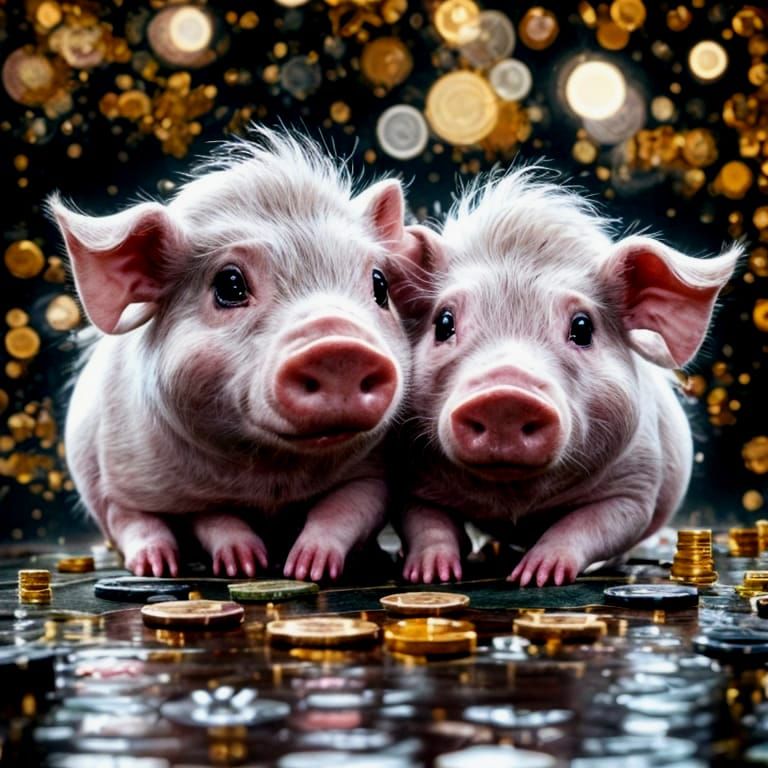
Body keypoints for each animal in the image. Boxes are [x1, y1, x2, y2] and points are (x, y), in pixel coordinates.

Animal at [49, 126, 414, 580]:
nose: (339, 348)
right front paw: (243, 565)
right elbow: (215, 519)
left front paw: (306, 568)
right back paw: (157, 565)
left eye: (379, 285)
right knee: (132, 520)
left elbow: (347, 508)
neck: (271, 483)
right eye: (230, 285)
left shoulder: (372, 473)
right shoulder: (180, 493)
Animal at [391, 167, 741, 587]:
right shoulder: (409, 476)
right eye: (443, 323)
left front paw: (535, 576)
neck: (515, 504)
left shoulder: (635, 486)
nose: (505, 397)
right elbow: (425, 520)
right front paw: (430, 575)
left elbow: (591, 525)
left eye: (583, 327)